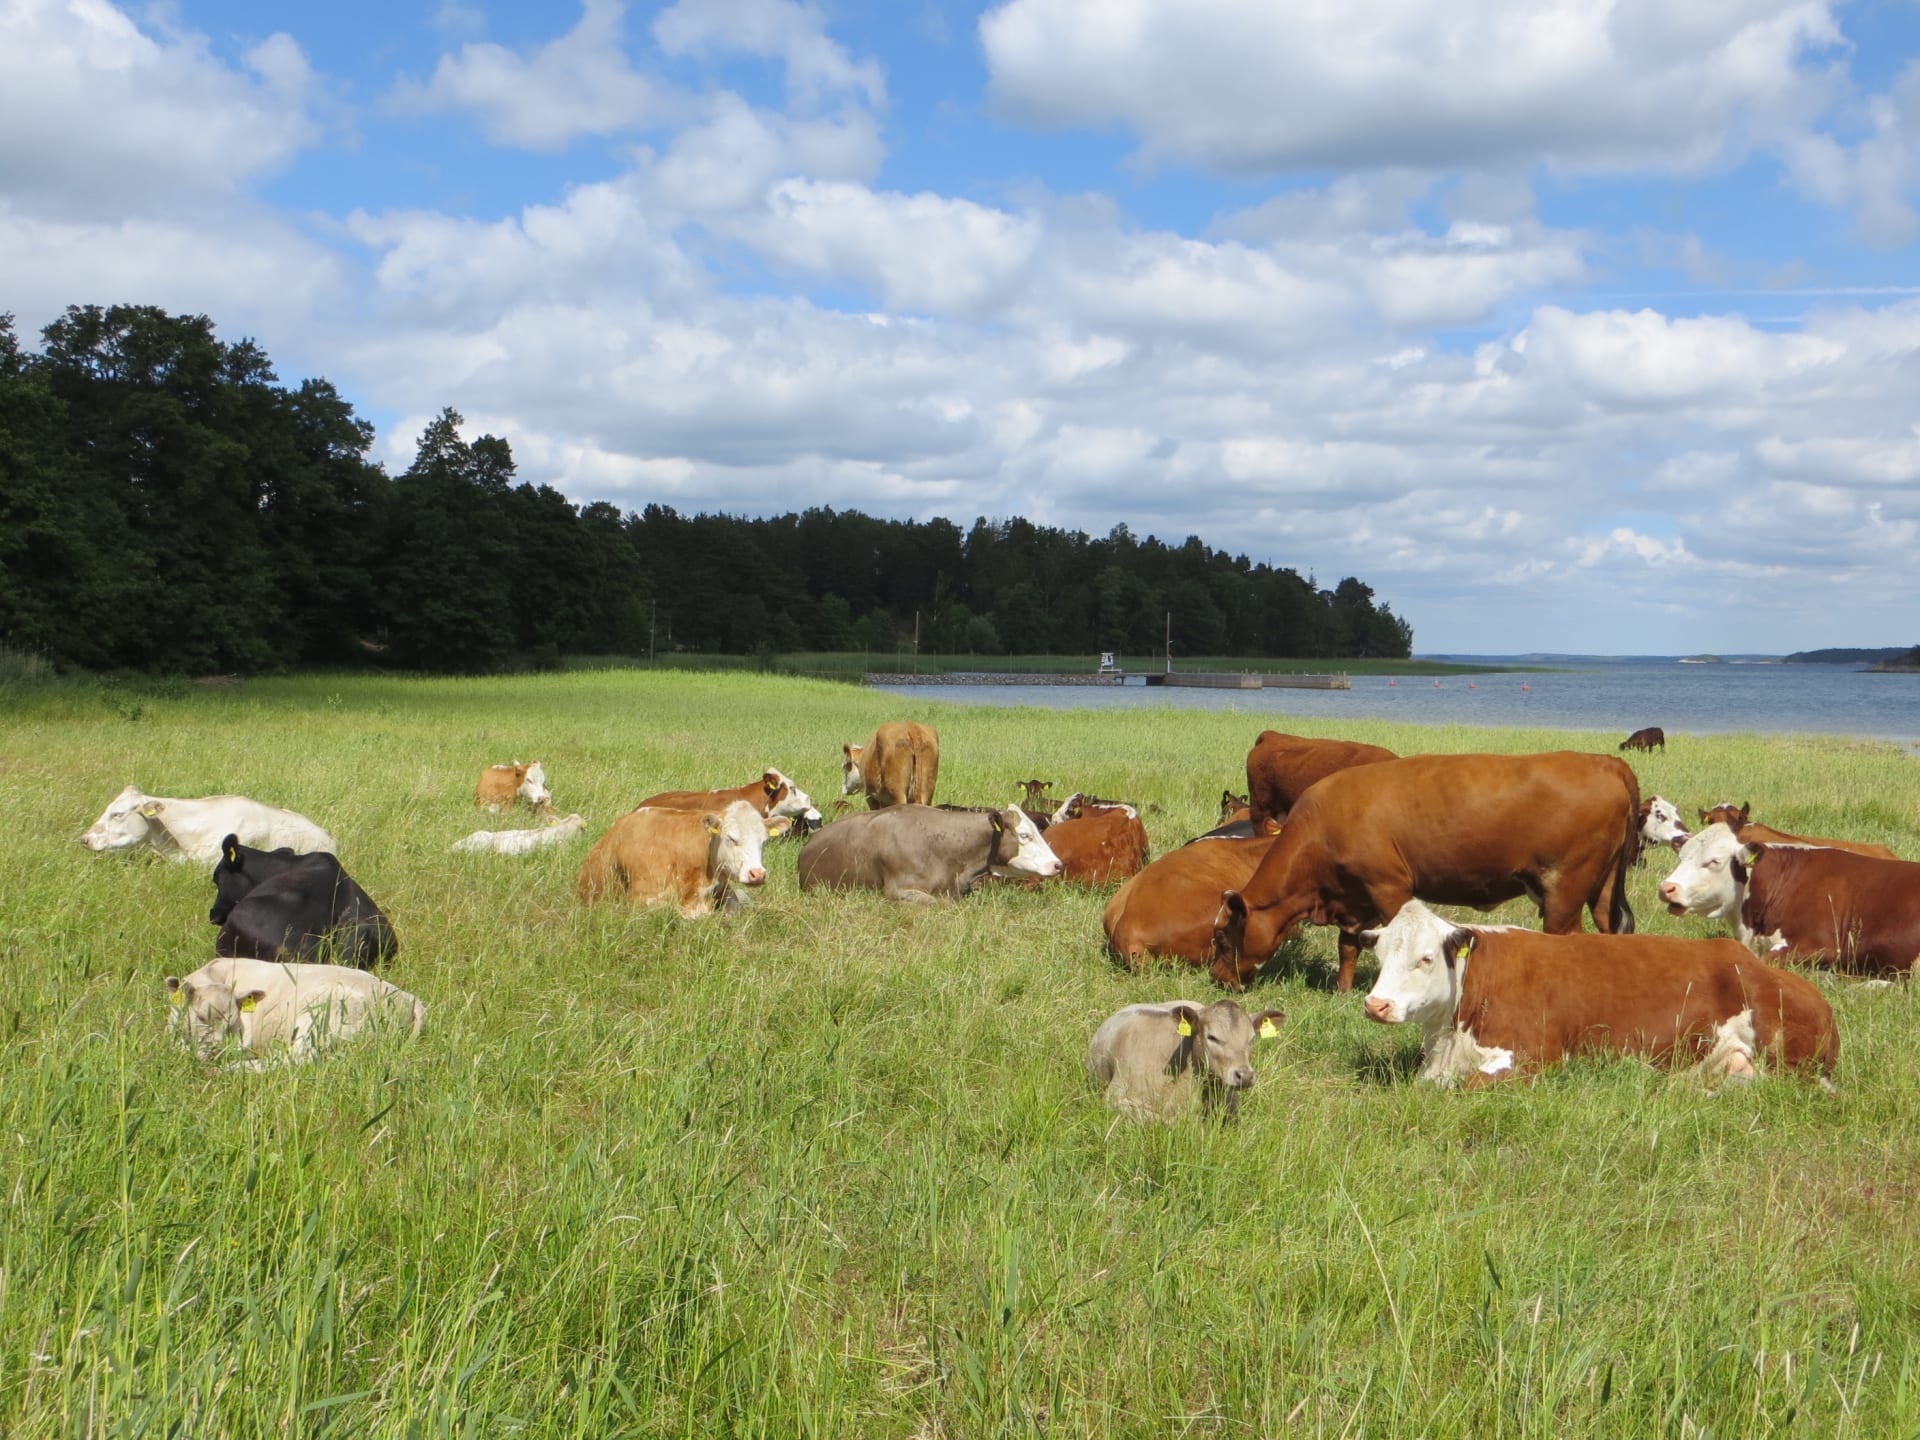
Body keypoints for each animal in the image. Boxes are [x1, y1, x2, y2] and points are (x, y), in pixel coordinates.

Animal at [166, 958, 426, 1069]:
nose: (214, 1053)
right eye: (201, 1017)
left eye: (232, 1026)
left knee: (297, 1057)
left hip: (320, 1014)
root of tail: (409, 998)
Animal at [1212, 751, 1642, 994]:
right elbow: (1347, 947)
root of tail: (1605, 761)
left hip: (1564, 891)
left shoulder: (1389, 887)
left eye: (1221, 937)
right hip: (1601, 889)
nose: (1216, 978)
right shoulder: (1353, 898)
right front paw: (1342, 991)